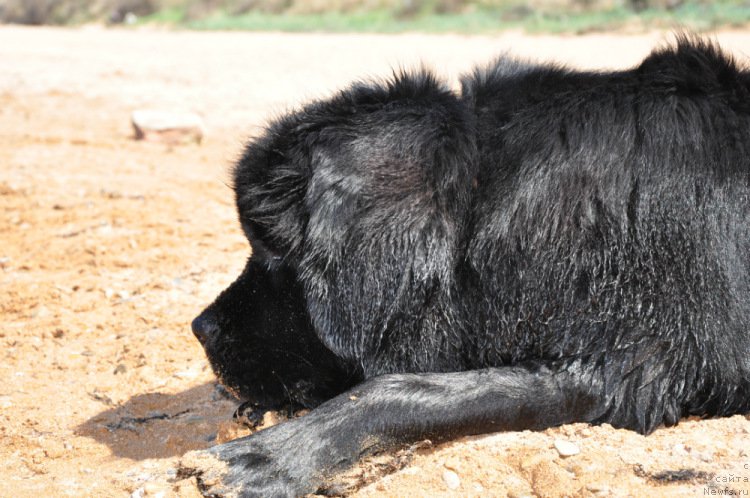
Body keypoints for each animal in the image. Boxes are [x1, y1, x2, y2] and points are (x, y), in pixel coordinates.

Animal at [182, 37, 750, 496]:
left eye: (272, 249)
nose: (200, 327)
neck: (493, 191)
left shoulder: (630, 361)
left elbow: (401, 390)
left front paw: (267, 456)